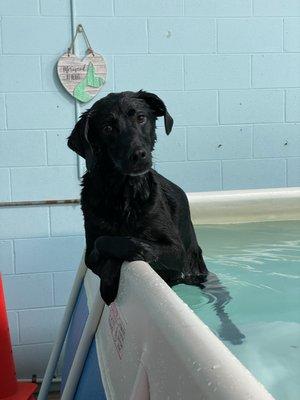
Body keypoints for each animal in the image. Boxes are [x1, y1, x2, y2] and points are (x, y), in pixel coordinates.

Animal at [67, 90, 244, 344]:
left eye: (141, 118)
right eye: (107, 127)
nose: (138, 155)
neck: (124, 195)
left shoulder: (176, 250)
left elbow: (131, 243)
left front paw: (138, 250)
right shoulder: (90, 251)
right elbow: (103, 243)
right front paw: (111, 279)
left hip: (207, 279)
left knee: (220, 305)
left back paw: (231, 331)